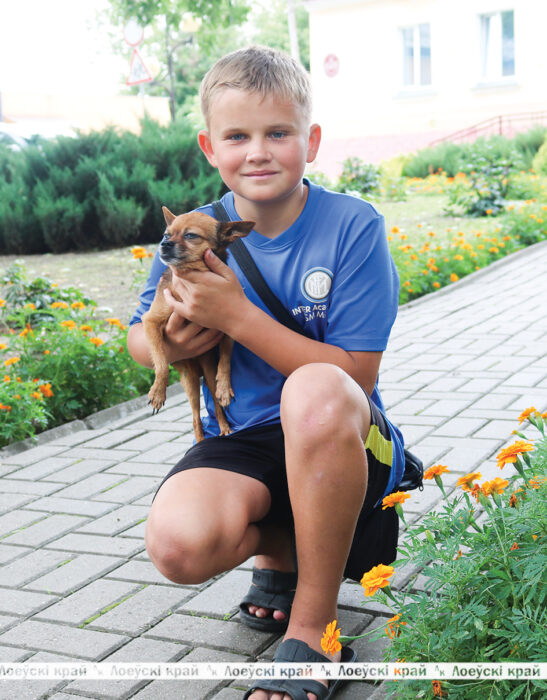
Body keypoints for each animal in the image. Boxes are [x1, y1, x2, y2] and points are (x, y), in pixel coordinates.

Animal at [142, 207, 254, 442]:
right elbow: (161, 361)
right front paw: (157, 391)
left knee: (216, 406)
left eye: (190, 235)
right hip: (190, 380)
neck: (192, 277)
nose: (164, 244)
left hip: (207, 372)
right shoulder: (151, 322)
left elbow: (226, 359)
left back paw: (224, 427)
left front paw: (225, 387)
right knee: (195, 417)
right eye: (166, 234)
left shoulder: (230, 326)